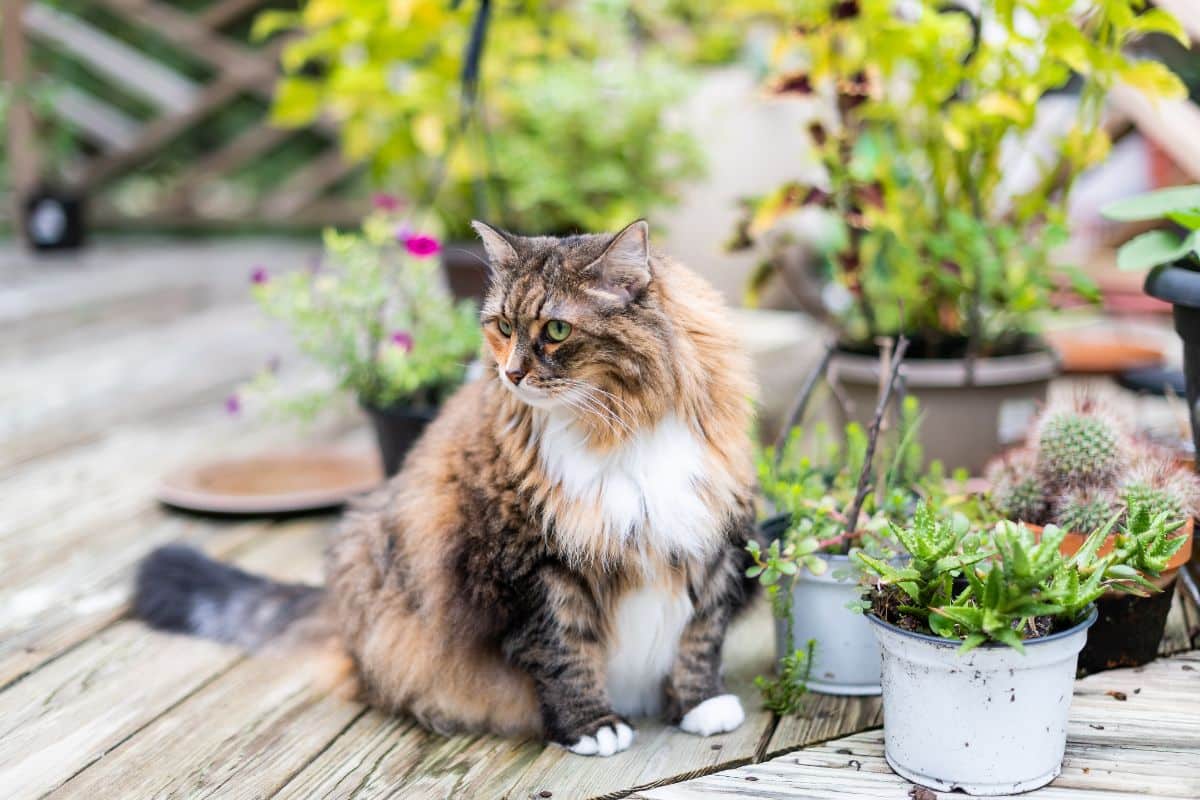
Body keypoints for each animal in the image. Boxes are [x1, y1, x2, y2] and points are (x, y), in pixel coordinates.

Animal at [133, 221, 758, 762]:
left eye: (556, 330)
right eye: (502, 326)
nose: (511, 374)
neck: (619, 431)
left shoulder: (708, 536)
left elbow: (700, 636)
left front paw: (701, 706)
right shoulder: (531, 564)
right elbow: (565, 653)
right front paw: (593, 727)